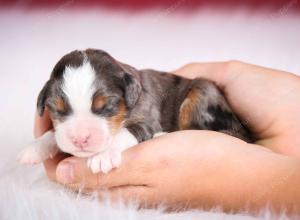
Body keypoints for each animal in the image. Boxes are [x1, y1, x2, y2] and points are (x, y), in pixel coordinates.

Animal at [18, 48, 253, 174]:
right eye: (56, 109)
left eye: (106, 106)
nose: (80, 139)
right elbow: (55, 134)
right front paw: (34, 148)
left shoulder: (147, 119)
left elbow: (124, 132)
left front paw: (103, 156)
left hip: (201, 93)